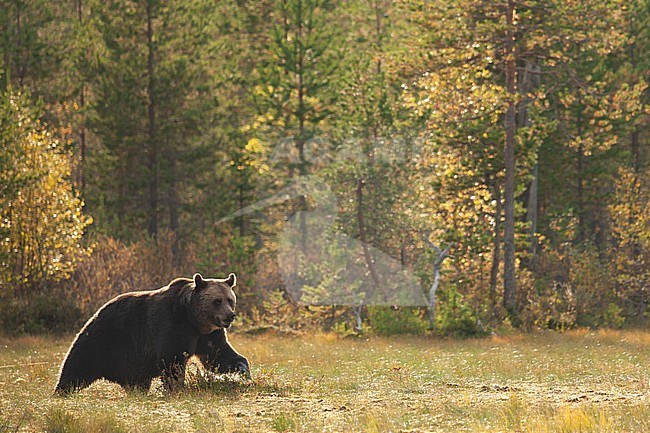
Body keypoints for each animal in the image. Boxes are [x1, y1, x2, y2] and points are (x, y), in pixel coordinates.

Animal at [54, 274, 248, 394]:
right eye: (217, 301)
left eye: (230, 300)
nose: (230, 315)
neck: (193, 318)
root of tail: (96, 312)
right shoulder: (172, 324)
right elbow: (173, 359)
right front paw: (176, 388)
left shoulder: (208, 334)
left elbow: (218, 355)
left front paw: (243, 370)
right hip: (103, 338)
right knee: (76, 367)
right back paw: (61, 391)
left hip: (134, 362)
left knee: (138, 382)